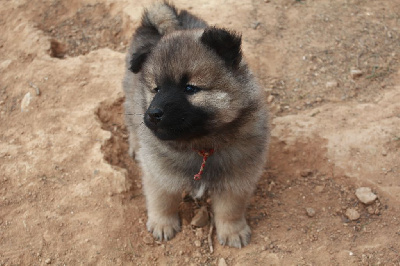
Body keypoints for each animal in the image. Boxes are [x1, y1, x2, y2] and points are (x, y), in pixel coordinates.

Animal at [123, 1, 270, 247]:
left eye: (190, 88)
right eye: (156, 89)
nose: (153, 114)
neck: (201, 146)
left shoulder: (238, 177)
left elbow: (231, 209)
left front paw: (233, 231)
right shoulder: (159, 173)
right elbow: (162, 201)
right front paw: (163, 224)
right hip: (130, 96)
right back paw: (135, 146)